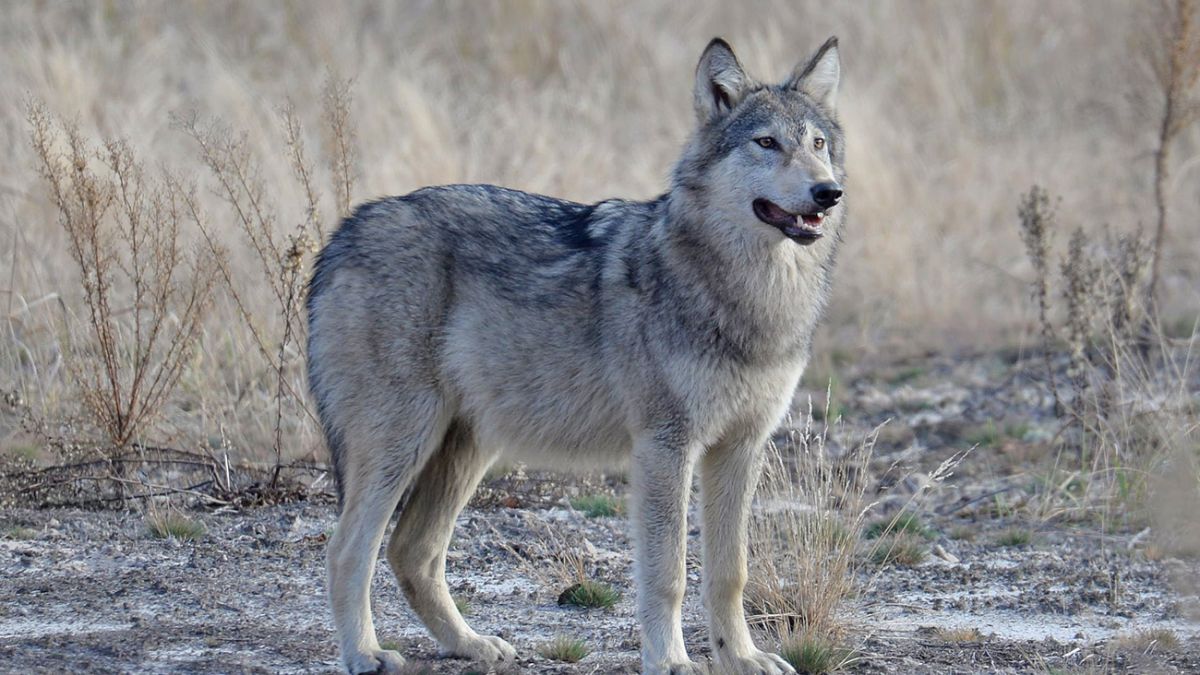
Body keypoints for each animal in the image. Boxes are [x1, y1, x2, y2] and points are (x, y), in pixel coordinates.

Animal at [307, 36, 844, 672]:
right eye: (766, 143)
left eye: (818, 145)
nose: (828, 192)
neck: (748, 299)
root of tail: (346, 230)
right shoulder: (665, 448)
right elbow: (668, 574)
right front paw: (671, 661)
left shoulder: (740, 448)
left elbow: (729, 572)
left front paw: (741, 658)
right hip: (401, 445)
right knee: (347, 550)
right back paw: (366, 654)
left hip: (465, 449)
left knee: (411, 551)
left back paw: (470, 645)